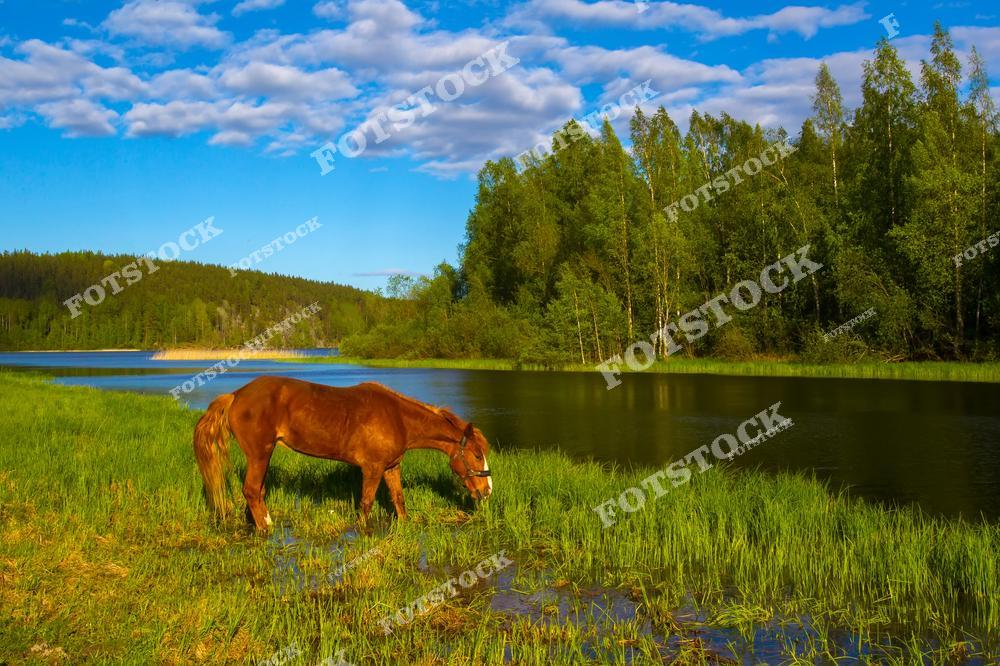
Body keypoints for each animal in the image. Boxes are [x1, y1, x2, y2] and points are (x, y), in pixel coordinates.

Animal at [192, 376, 492, 530]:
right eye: (478, 455)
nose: (487, 490)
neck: (397, 418)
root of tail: (235, 395)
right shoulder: (372, 468)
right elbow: (366, 504)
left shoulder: (391, 467)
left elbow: (399, 500)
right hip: (260, 454)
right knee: (252, 491)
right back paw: (267, 528)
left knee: (257, 491)